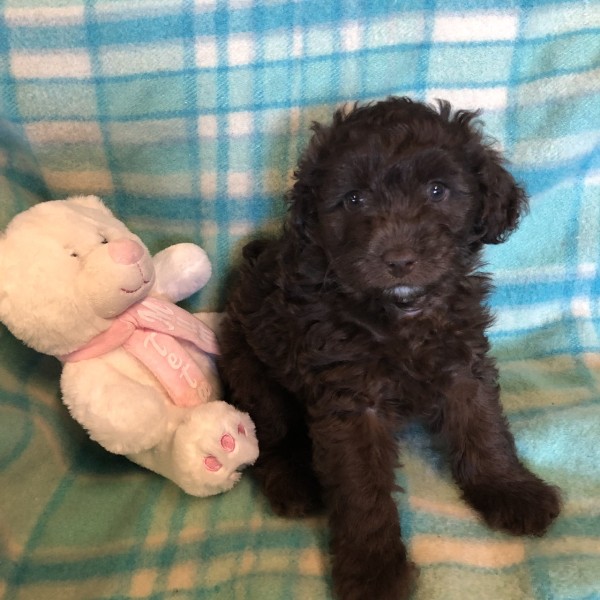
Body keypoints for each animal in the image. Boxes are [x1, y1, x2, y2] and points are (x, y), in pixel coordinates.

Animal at [218, 98, 560, 600]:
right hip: (253, 370)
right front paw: (373, 571)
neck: (399, 312)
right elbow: (360, 487)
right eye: (354, 199)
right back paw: (294, 484)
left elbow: (484, 428)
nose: (398, 259)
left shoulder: (463, 362)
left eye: (437, 190)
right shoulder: (351, 398)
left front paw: (509, 489)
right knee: (271, 436)